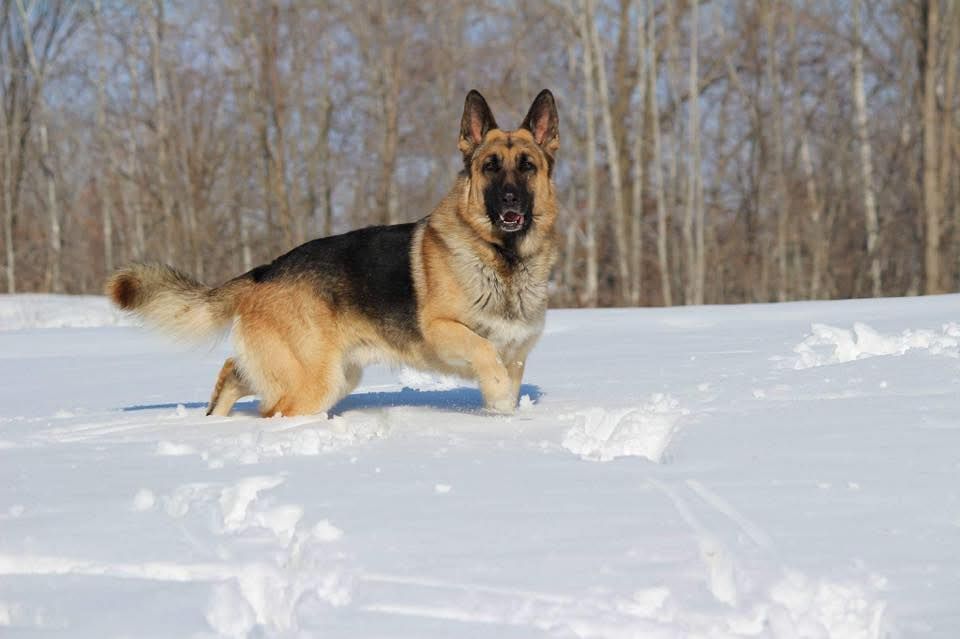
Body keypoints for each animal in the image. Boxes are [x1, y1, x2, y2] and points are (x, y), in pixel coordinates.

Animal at [109, 91, 564, 420]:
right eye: (490, 166)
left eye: (527, 166)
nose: (510, 200)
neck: (503, 258)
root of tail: (264, 271)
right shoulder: (444, 331)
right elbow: (486, 356)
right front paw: (502, 403)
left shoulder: (517, 354)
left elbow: (504, 375)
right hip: (315, 384)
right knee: (271, 409)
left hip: (330, 374)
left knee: (232, 374)